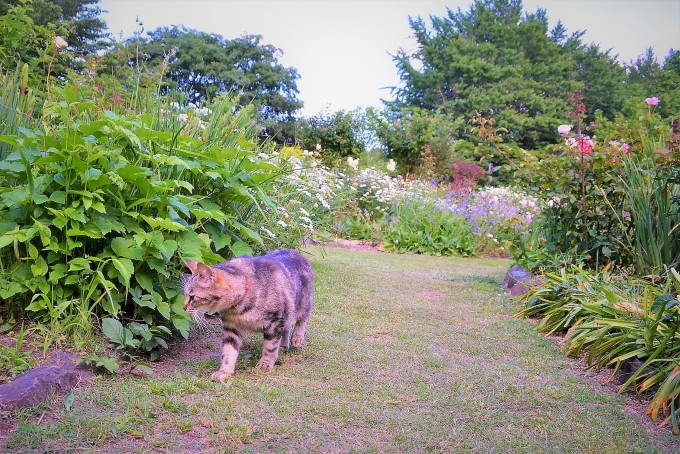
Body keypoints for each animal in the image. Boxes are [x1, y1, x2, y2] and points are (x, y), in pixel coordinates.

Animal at [185, 250, 314, 382]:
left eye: (192, 297)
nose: (184, 307)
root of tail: (295, 252)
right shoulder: (231, 328)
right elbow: (228, 352)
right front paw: (224, 371)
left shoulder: (275, 321)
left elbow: (270, 346)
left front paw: (265, 363)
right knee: (287, 327)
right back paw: (283, 346)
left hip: (300, 304)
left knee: (305, 315)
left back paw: (297, 338)